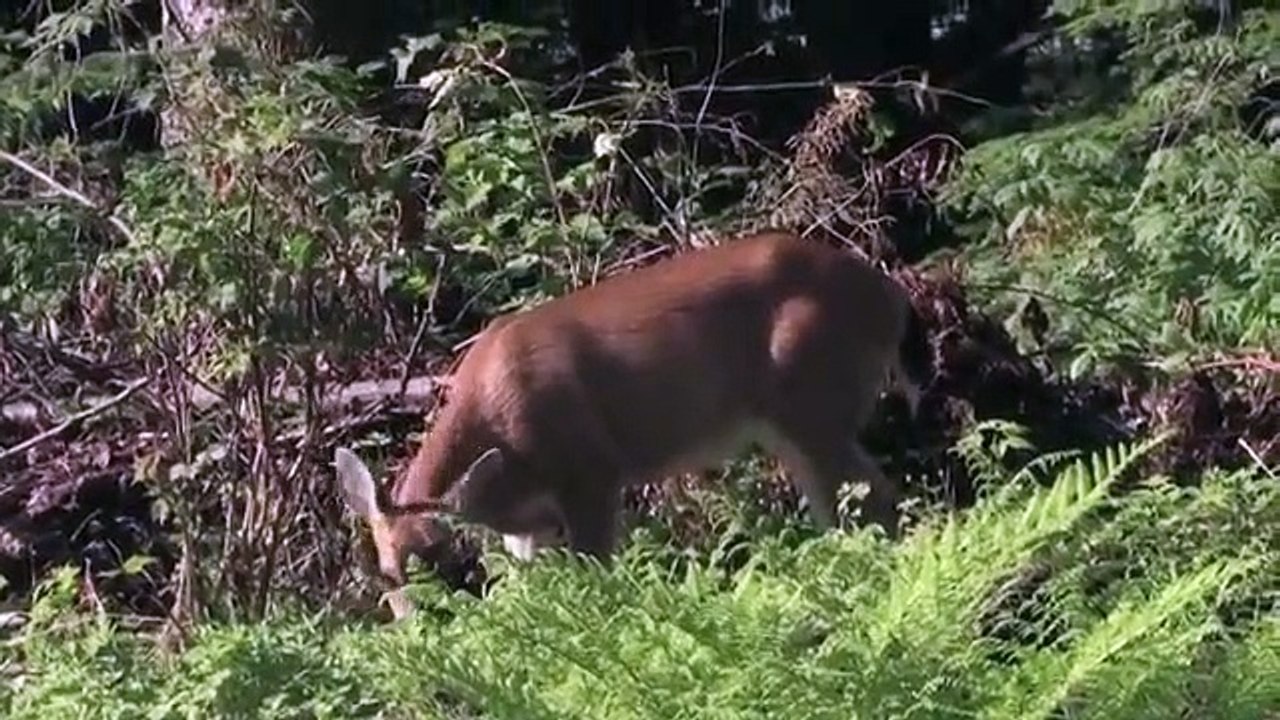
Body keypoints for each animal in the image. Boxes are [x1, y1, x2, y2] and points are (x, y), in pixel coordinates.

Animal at [335, 230, 930, 616]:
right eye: (386, 573)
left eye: (450, 565)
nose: (420, 628)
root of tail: (892, 296)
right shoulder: (530, 527)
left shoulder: (592, 473)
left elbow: (596, 574)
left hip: (812, 403)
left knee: (873, 497)